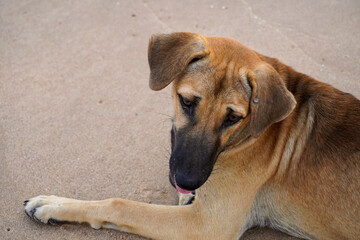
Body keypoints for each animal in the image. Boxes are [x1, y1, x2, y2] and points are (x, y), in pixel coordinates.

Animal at [23, 32, 358, 240]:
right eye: (186, 101)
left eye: (233, 118)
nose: (187, 180)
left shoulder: (205, 224)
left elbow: (121, 205)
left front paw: (54, 205)